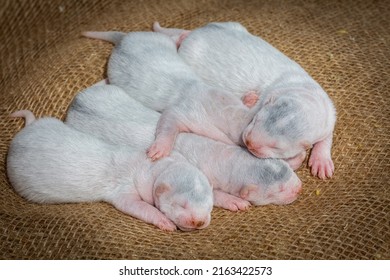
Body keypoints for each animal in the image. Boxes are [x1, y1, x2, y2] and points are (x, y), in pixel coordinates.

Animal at [6, 110, 213, 231]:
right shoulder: (124, 189)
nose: (200, 222)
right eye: (181, 205)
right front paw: (164, 221)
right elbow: (135, 206)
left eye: (210, 207)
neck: (154, 167)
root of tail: (23, 134)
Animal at [65, 85, 304, 208]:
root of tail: (75, 104)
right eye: (278, 190)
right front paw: (234, 201)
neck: (228, 159)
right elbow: (213, 194)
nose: (299, 188)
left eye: (286, 172)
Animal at [82, 30, 258, 161]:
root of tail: (123, 39)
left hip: (156, 38)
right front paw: (159, 148)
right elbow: (169, 118)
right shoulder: (190, 113)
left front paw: (249, 98)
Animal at [154, 21, 336, 179]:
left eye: (276, 146)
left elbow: (327, 135)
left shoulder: (327, 112)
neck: (301, 90)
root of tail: (195, 33)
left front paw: (321, 160)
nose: (248, 142)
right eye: (255, 120)